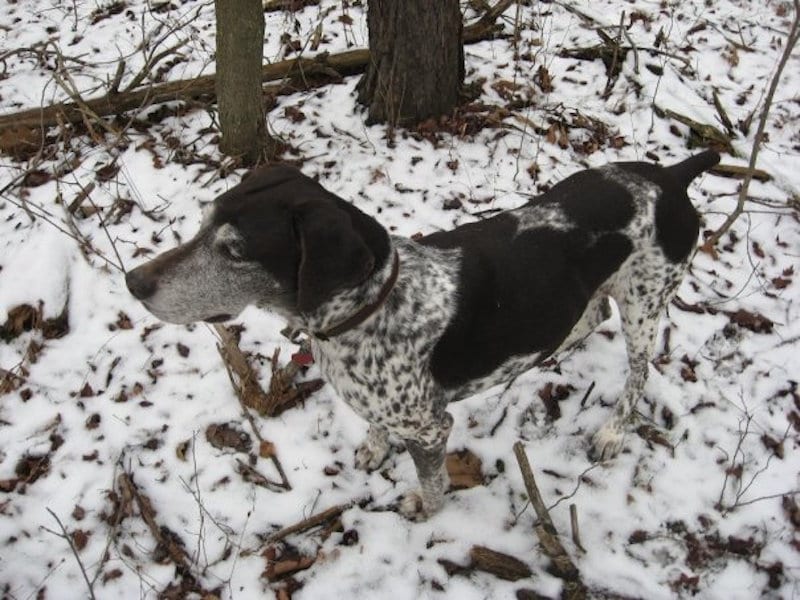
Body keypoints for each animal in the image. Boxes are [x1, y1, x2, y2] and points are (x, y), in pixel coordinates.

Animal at [125, 151, 720, 520]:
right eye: (203, 223)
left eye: (235, 250)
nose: (133, 282)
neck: (369, 308)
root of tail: (673, 175)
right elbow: (375, 427)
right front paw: (373, 448)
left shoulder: (432, 428)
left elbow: (433, 482)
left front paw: (424, 509)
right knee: (591, 316)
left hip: (646, 302)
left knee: (639, 370)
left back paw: (614, 431)